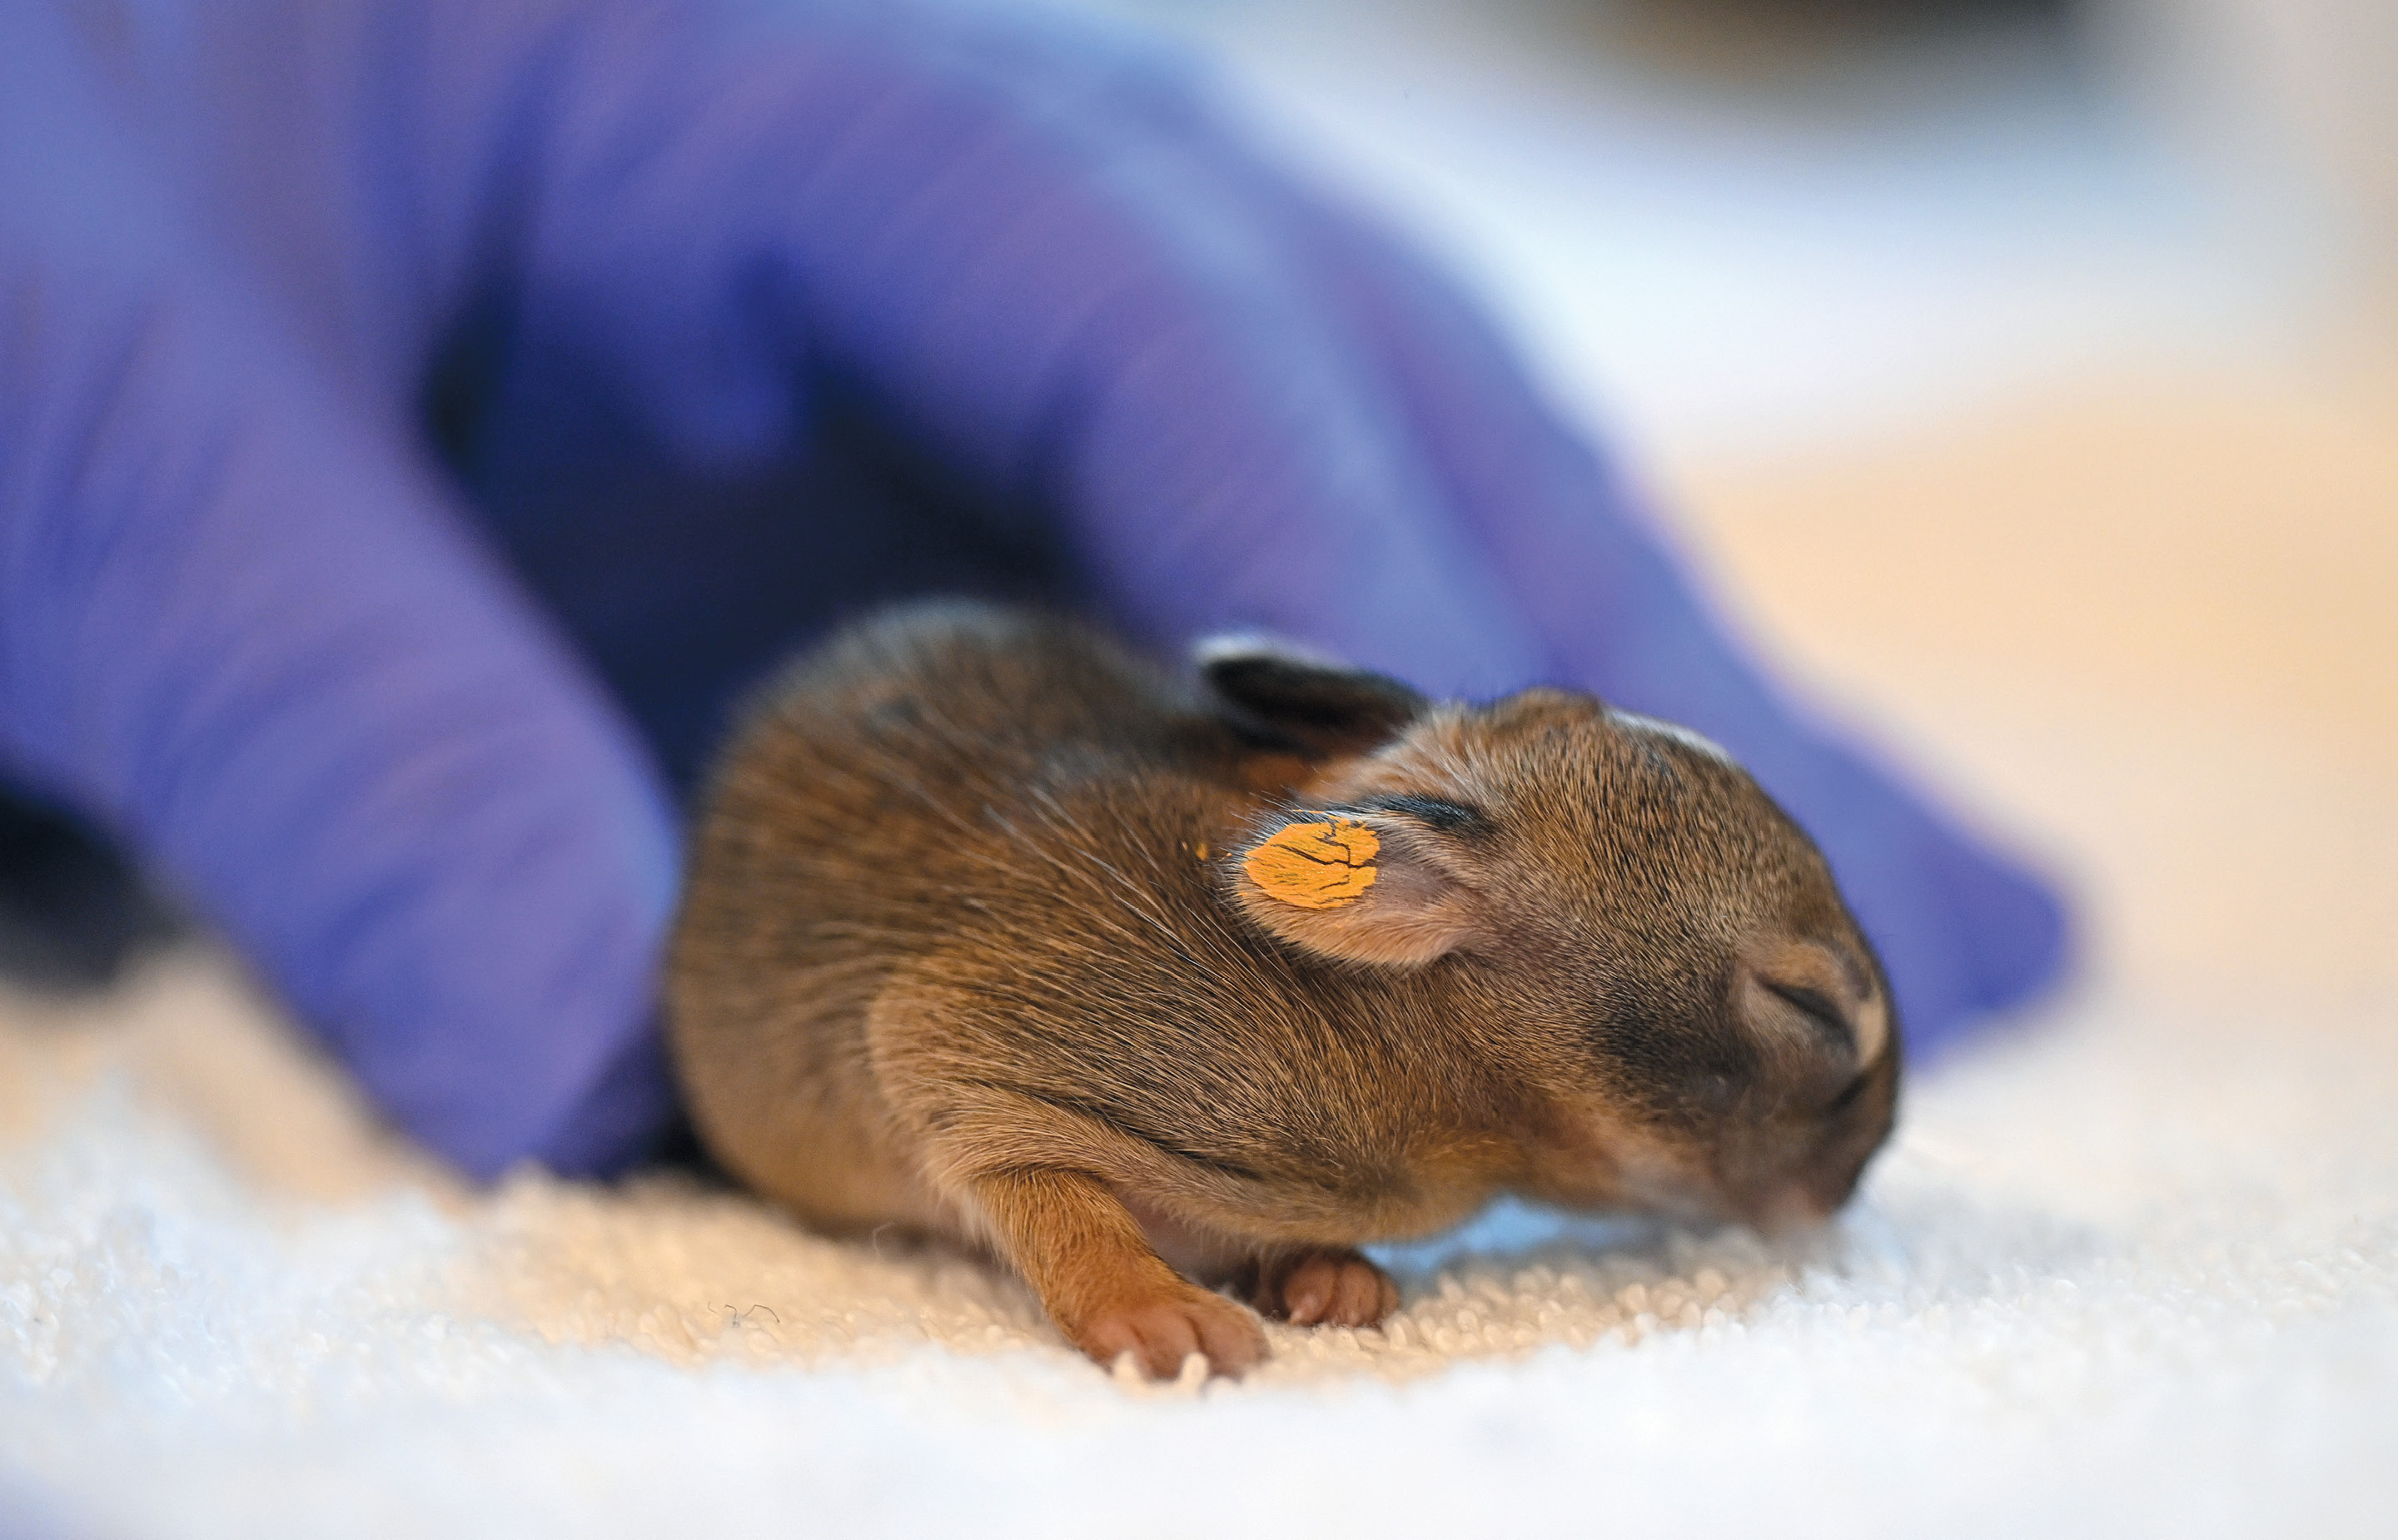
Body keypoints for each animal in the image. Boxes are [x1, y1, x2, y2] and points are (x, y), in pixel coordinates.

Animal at [668, 600, 1898, 1379]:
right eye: (1810, 1010)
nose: (1854, 1183)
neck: (1416, 1030)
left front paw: (1330, 1277)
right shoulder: (975, 1037)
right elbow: (1020, 1168)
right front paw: (1160, 1314)